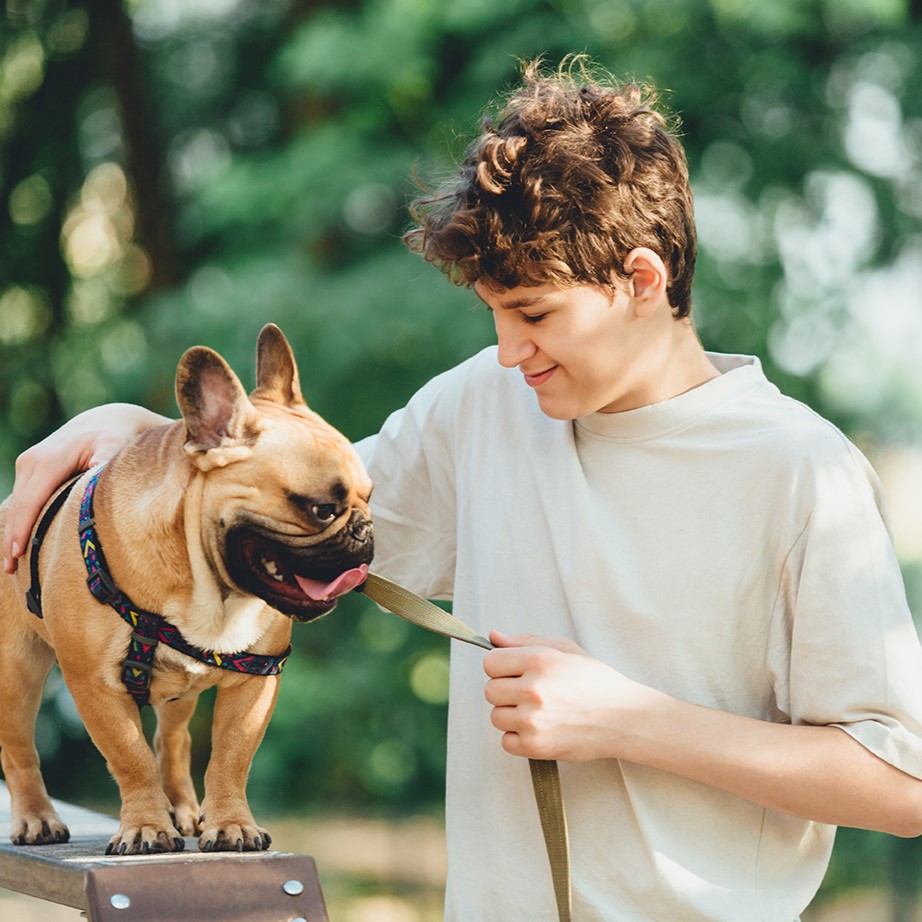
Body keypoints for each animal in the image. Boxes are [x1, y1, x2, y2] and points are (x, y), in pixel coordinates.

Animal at [0, 326, 374, 856]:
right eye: (322, 509)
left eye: (371, 496)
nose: (366, 532)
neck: (209, 592)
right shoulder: (94, 685)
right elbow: (129, 756)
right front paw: (145, 827)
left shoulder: (254, 684)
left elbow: (231, 756)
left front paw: (231, 824)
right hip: (17, 669)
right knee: (20, 748)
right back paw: (36, 819)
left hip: (181, 695)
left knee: (172, 743)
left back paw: (181, 809)